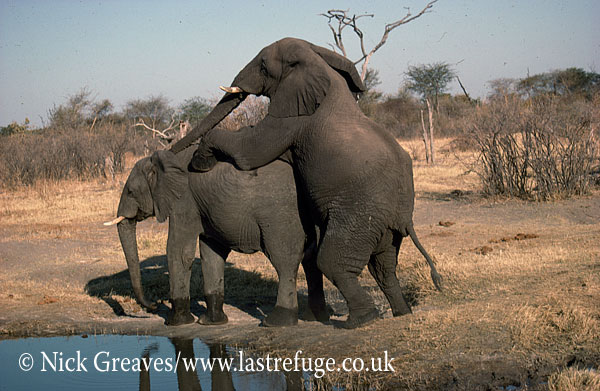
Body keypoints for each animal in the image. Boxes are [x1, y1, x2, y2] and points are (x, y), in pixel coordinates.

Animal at [104, 147, 328, 328]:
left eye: (130, 192)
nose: (153, 305)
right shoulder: (205, 208)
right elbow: (211, 253)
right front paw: (210, 322)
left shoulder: (184, 202)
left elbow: (179, 251)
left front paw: (175, 323)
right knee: (311, 260)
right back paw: (315, 317)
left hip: (281, 215)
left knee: (285, 262)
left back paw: (277, 323)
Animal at [169, 37, 440, 330]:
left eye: (263, 66)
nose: (170, 151)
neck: (317, 59)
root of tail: (404, 217)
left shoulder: (294, 120)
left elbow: (250, 151)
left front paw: (200, 161)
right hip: (385, 228)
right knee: (383, 267)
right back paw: (402, 312)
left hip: (360, 214)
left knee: (332, 261)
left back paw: (359, 320)